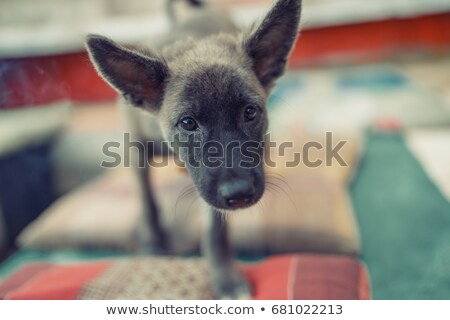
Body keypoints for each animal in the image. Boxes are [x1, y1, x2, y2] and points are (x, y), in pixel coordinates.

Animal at [85, 0, 302, 300]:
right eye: (188, 123)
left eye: (250, 112)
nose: (239, 195)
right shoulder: (135, 150)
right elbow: (147, 200)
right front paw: (153, 243)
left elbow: (214, 231)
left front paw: (225, 279)